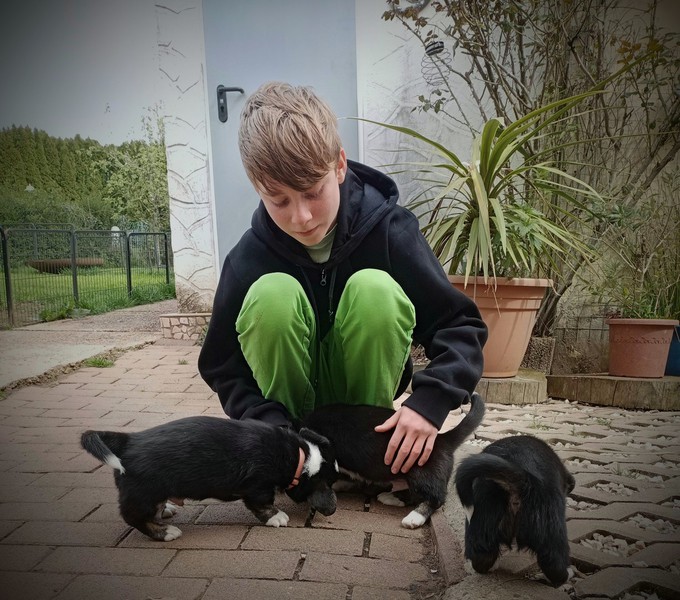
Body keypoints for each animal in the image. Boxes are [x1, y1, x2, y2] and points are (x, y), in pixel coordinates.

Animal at [81, 416, 339, 541]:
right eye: (329, 483)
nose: (334, 509)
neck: (299, 457)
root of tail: (128, 441)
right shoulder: (258, 486)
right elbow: (263, 504)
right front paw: (277, 517)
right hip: (144, 493)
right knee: (133, 516)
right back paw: (165, 532)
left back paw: (167, 510)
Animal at [454, 435, 575, 587]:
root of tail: (522, 478)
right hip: (551, 526)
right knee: (554, 563)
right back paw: (567, 574)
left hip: (483, 517)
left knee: (482, 556)